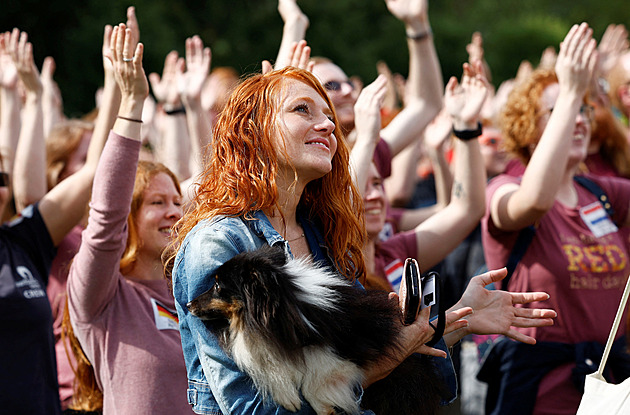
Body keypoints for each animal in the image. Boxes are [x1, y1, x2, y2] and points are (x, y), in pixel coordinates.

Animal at [188, 245, 450, 414]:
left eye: (218, 286)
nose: (189, 304)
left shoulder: (350, 356)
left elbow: (314, 381)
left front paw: (321, 406)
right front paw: (287, 396)